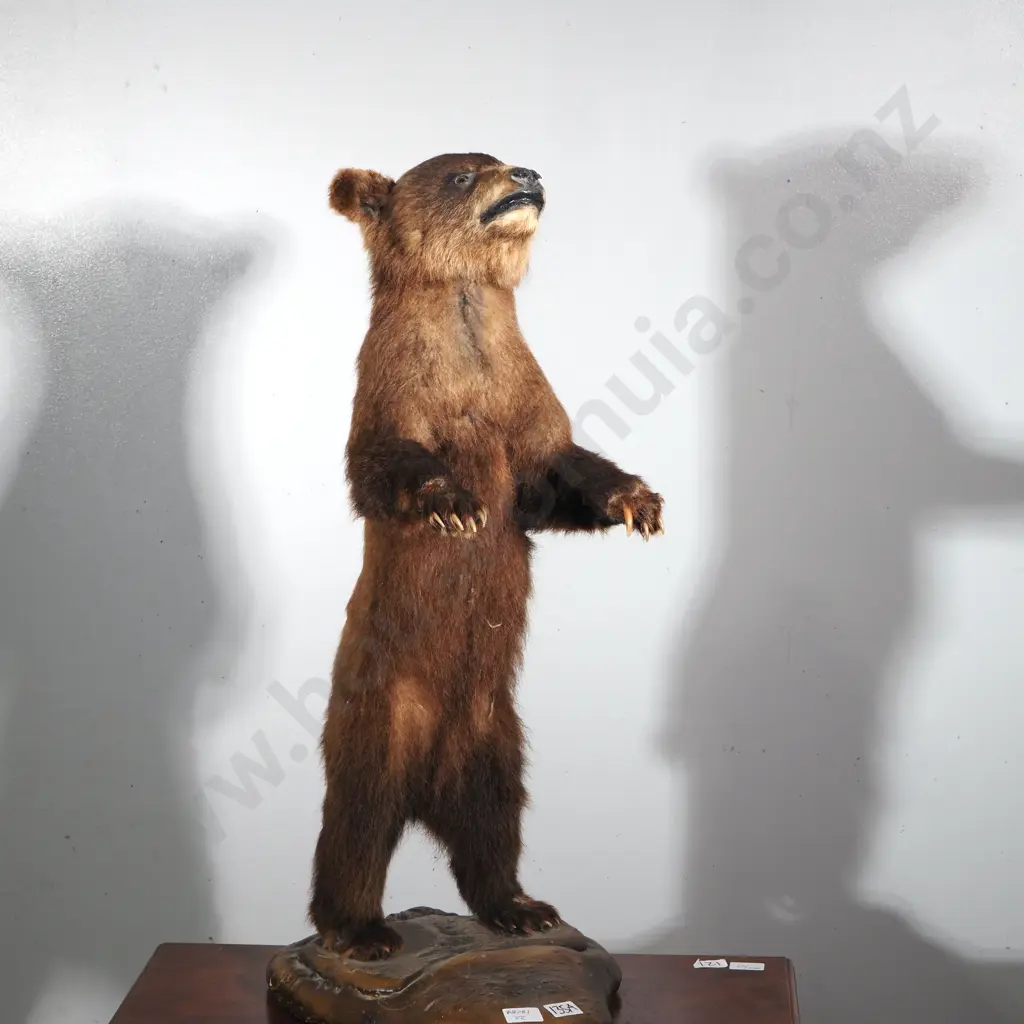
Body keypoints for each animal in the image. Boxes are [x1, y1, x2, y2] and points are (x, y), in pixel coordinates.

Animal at [310, 152, 664, 960]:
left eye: (501, 158)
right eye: (463, 176)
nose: (526, 174)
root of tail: (425, 794)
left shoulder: (524, 403)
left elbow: (552, 479)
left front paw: (637, 501)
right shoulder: (393, 393)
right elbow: (382, 466)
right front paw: (455, 504)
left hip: (494, 735)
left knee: (494, 826)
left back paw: (523, 909)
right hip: (377, 719)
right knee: (356, 824)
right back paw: (361, 930)